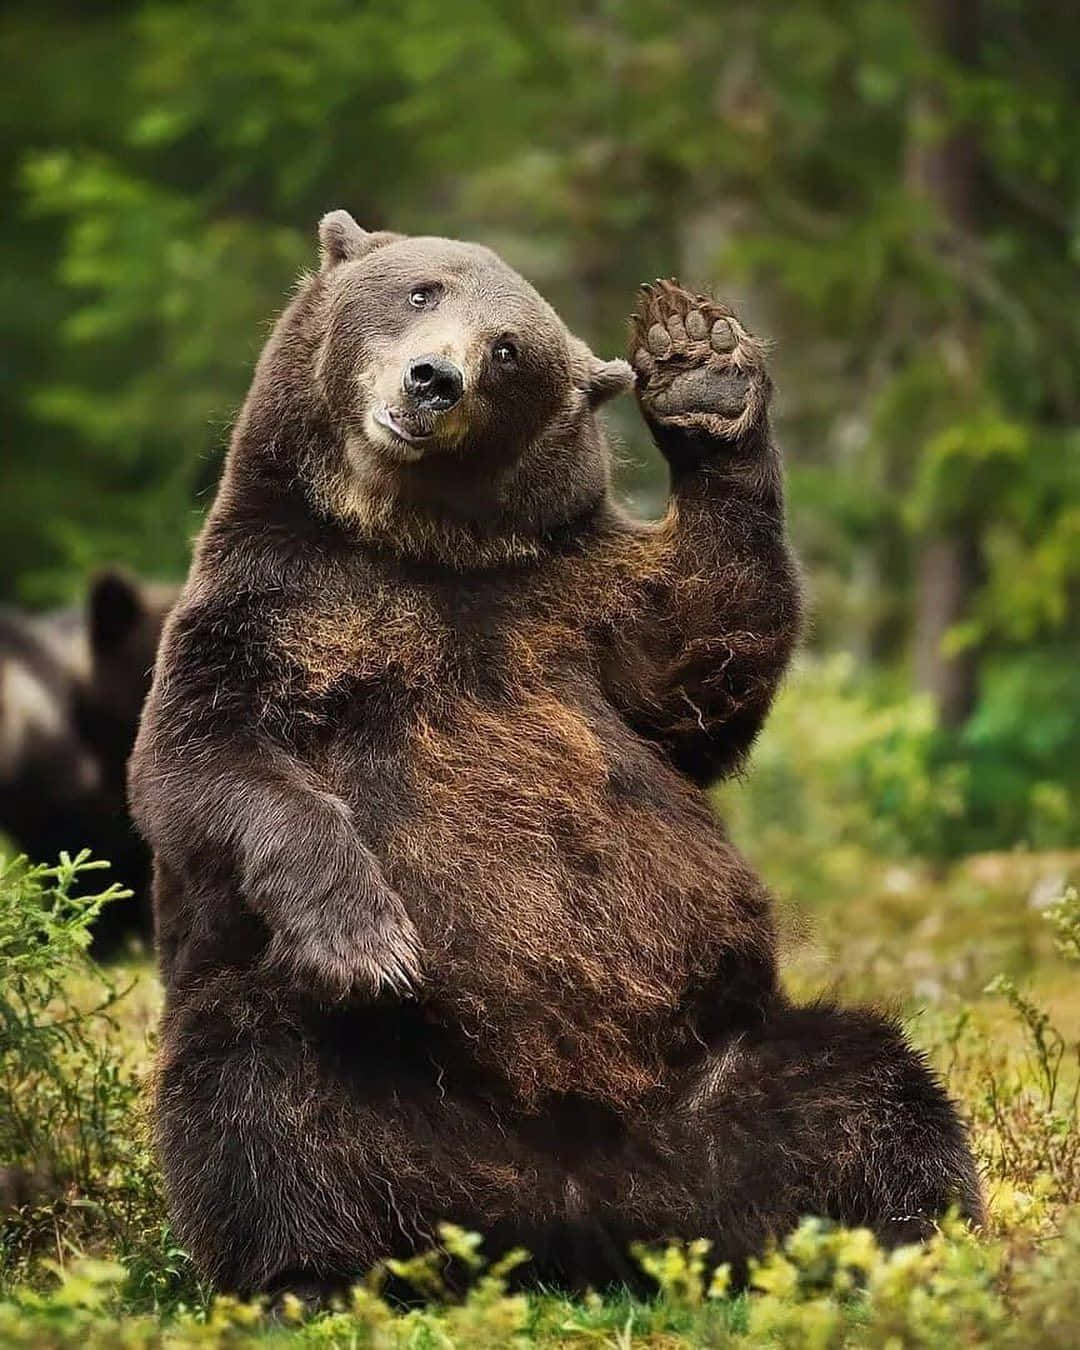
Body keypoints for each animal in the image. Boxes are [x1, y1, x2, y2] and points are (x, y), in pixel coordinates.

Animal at [129, 211, 983, 1300]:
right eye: (422, 288)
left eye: (508, 349)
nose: (433, 379)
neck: (414, 538)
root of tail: (571, 1216)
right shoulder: (276, 604)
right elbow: (209, 759)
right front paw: (366, 934)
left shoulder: (578, 596)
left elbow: (698, 660)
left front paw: (702, 365)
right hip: (361, 1078)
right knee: (255, 1096)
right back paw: (303, 1277)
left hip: (719, 1074)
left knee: (871, 1087)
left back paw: (915, 1245)